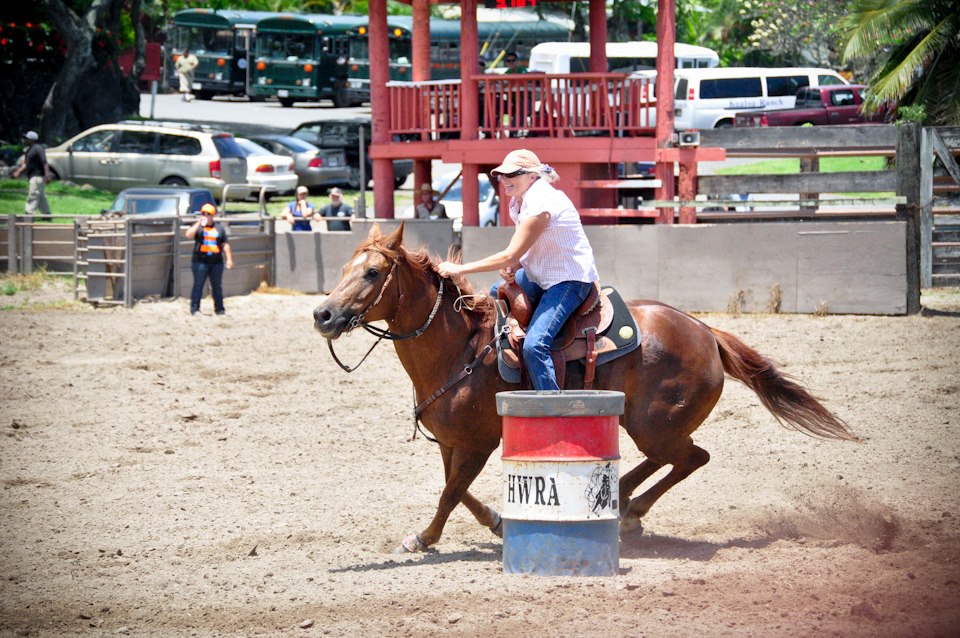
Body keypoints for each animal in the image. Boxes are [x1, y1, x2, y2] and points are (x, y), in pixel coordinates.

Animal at [313, 223, 857, 553]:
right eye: (343, 270)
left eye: (373, 272)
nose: (323, 314)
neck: (461, 349)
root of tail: (706, 331)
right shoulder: (453, 443)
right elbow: (457, 492)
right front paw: (494, 522)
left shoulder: (477, 443)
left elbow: (450, 494)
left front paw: (423, 538)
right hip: (645, 423)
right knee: (668, 459)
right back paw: (626, 503)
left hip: (656, 424)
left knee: (690, 457)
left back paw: (632, 509)